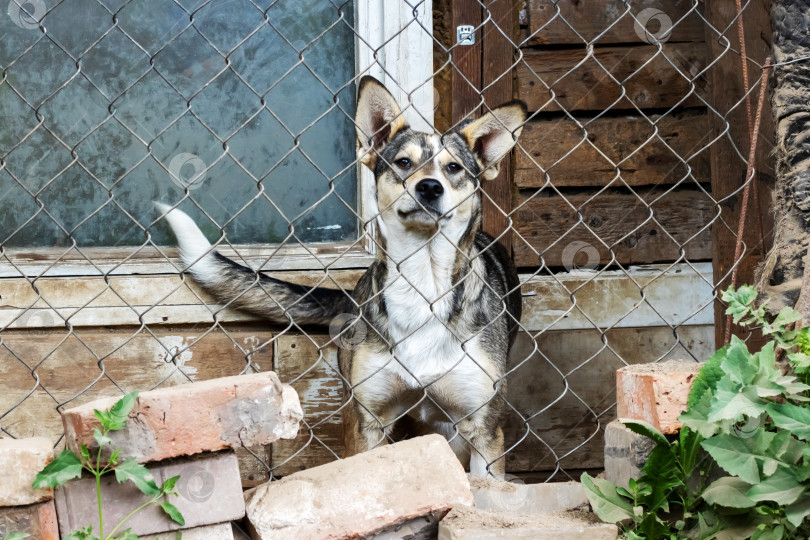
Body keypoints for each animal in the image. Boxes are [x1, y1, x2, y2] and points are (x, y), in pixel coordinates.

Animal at [158, 77, 524, 476]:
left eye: (454, 168)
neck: (422, 281)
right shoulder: (367, 422)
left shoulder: (483, 429)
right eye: (403, 162)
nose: (429, 187)